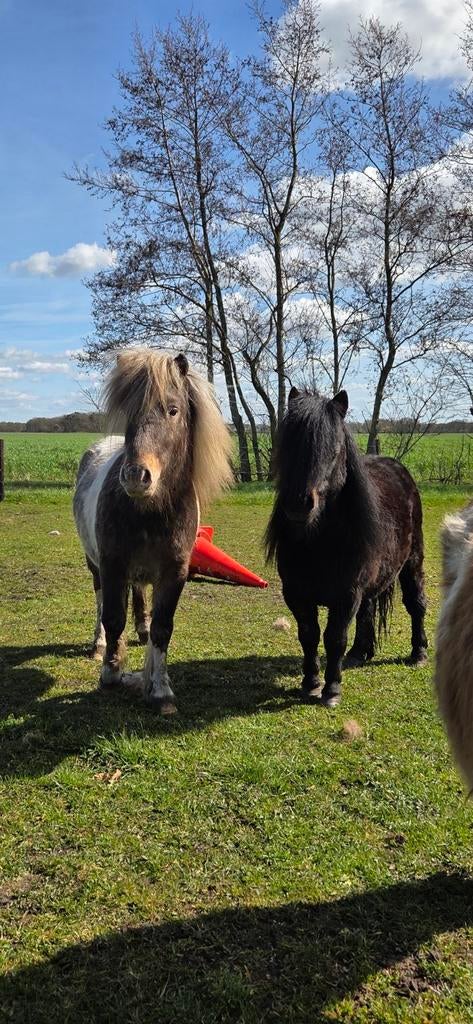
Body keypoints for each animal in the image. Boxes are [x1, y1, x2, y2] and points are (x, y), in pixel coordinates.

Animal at [73, 349, 233, 714]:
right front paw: (111, 674)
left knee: (138, 593)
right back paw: (98, 645)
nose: (136, 476)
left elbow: (162, 627)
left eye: (172, 410)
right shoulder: (112, 564)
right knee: (101, 601)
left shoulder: (175, 571)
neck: (150, 512)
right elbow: (113, 618)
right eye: (129, 412)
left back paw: (141, 629)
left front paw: (160, 691)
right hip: (95, 566)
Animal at [265, 388, 428, 708]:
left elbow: (334, 638)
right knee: (368, 609)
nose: (299, 504)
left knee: (416, 603)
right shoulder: (296, 594)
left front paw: (331, 689)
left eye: (335, 448)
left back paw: (418, 653)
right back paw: (359, 653)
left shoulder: (346, 595)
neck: (319, 542)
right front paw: (311, 682)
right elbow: (309, 635)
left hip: (412, 562)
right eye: (287, 444)